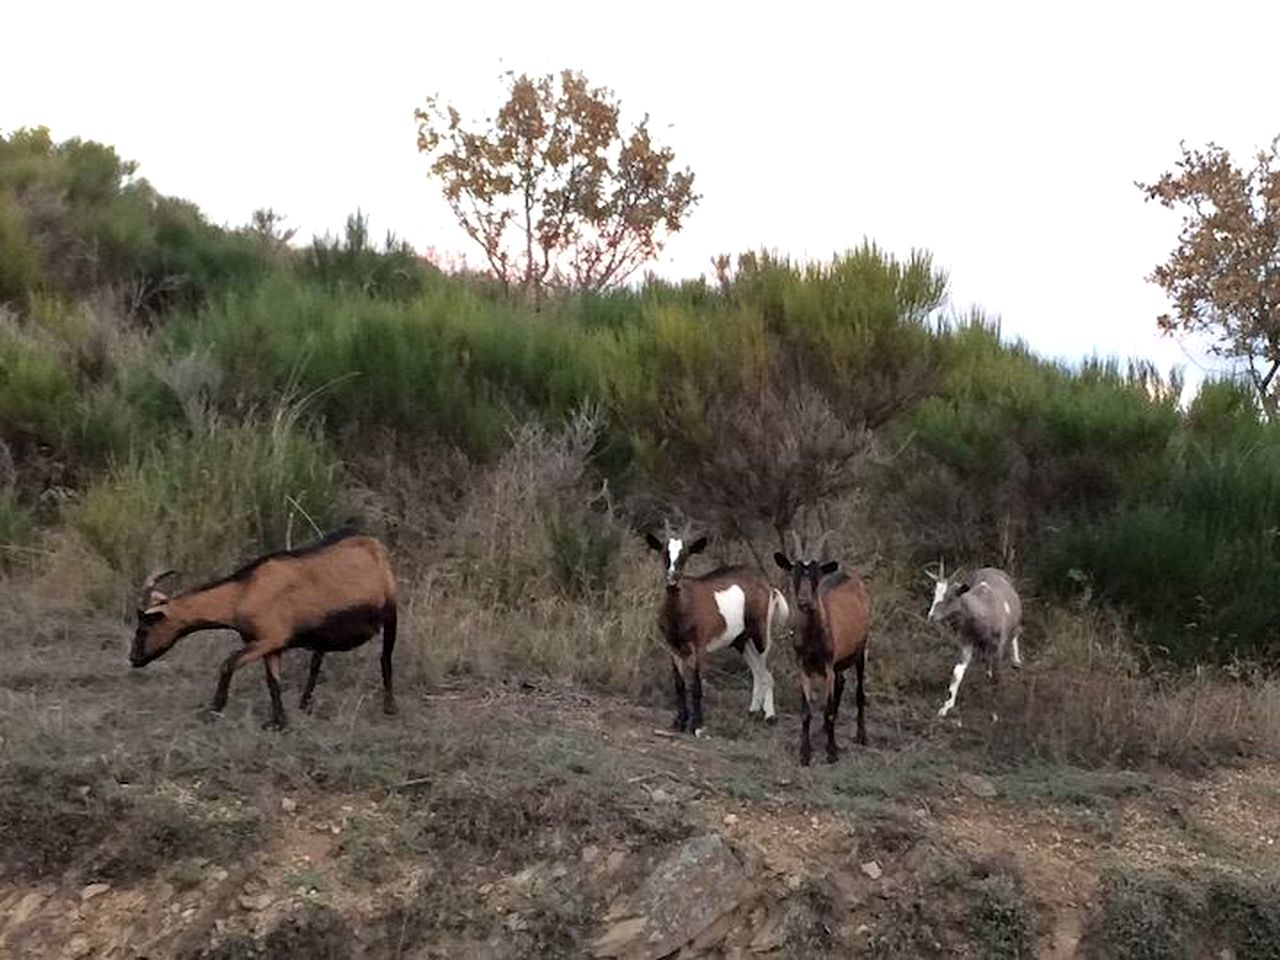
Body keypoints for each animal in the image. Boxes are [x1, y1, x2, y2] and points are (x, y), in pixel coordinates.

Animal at [129, 527, 396, 727]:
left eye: (144, 627)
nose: (133, 658)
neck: (242, 593)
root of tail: (374, 544)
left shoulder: (267, 640)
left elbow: (228, 663)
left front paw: (213, 710)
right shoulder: (272, 646)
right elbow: (273, 682)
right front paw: (279, 722)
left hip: (391, 611)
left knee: (385, 658)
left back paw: (390, 707)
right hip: (324, 631)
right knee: (316, 661)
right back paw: (304, 703)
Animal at [650, 535, 788, 737]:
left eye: (685, 555)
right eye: (664, 554)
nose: (672, 579)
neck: (683, 607)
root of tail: (769, 586)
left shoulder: (699, 647)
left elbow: (696, 686)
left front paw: (697, 726)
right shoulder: (673, 647)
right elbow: (680, 685)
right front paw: (679, 723)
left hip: (761, 634)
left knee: (766, 673)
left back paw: (770, 717)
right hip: (741, 640)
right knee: (757, 671)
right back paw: (752, 712)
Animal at [768, 535, 870, 768]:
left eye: (816, 576)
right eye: (794, 573)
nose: (804, 602)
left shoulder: (828, 666)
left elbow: (829, 710)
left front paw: (832, 752)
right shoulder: (803, 667)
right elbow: (806, 712)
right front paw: (805, 753)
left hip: (861, 648)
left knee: (859, 692)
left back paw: (861, 735)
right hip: (839, 661)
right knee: (842, 682)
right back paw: (824, 729)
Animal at [926, 563, 1024, 721]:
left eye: (950, 597)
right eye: (934, 594)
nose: (931, 616)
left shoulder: (998, 645)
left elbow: (997, 676)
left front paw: (994, 713)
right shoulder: (966, 642)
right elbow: (957, 673)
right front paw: (945, 707)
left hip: (1013, 624)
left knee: (1016, 632)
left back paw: (1016, 662)